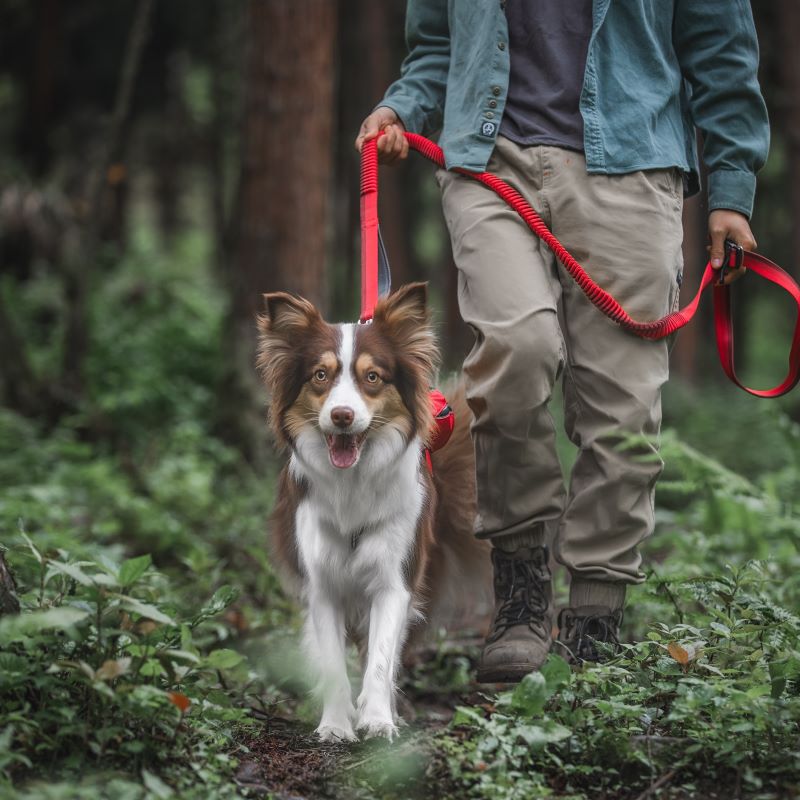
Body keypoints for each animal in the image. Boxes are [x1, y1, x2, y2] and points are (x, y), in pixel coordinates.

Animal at [260, 282, 490, 744]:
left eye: (372, 377)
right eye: (320, 375)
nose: (342, 416)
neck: (352, 482)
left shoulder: (395, 579)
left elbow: (381, 657)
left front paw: (379, 720)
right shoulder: (322, 585)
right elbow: (333, 663)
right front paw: (335, 724)